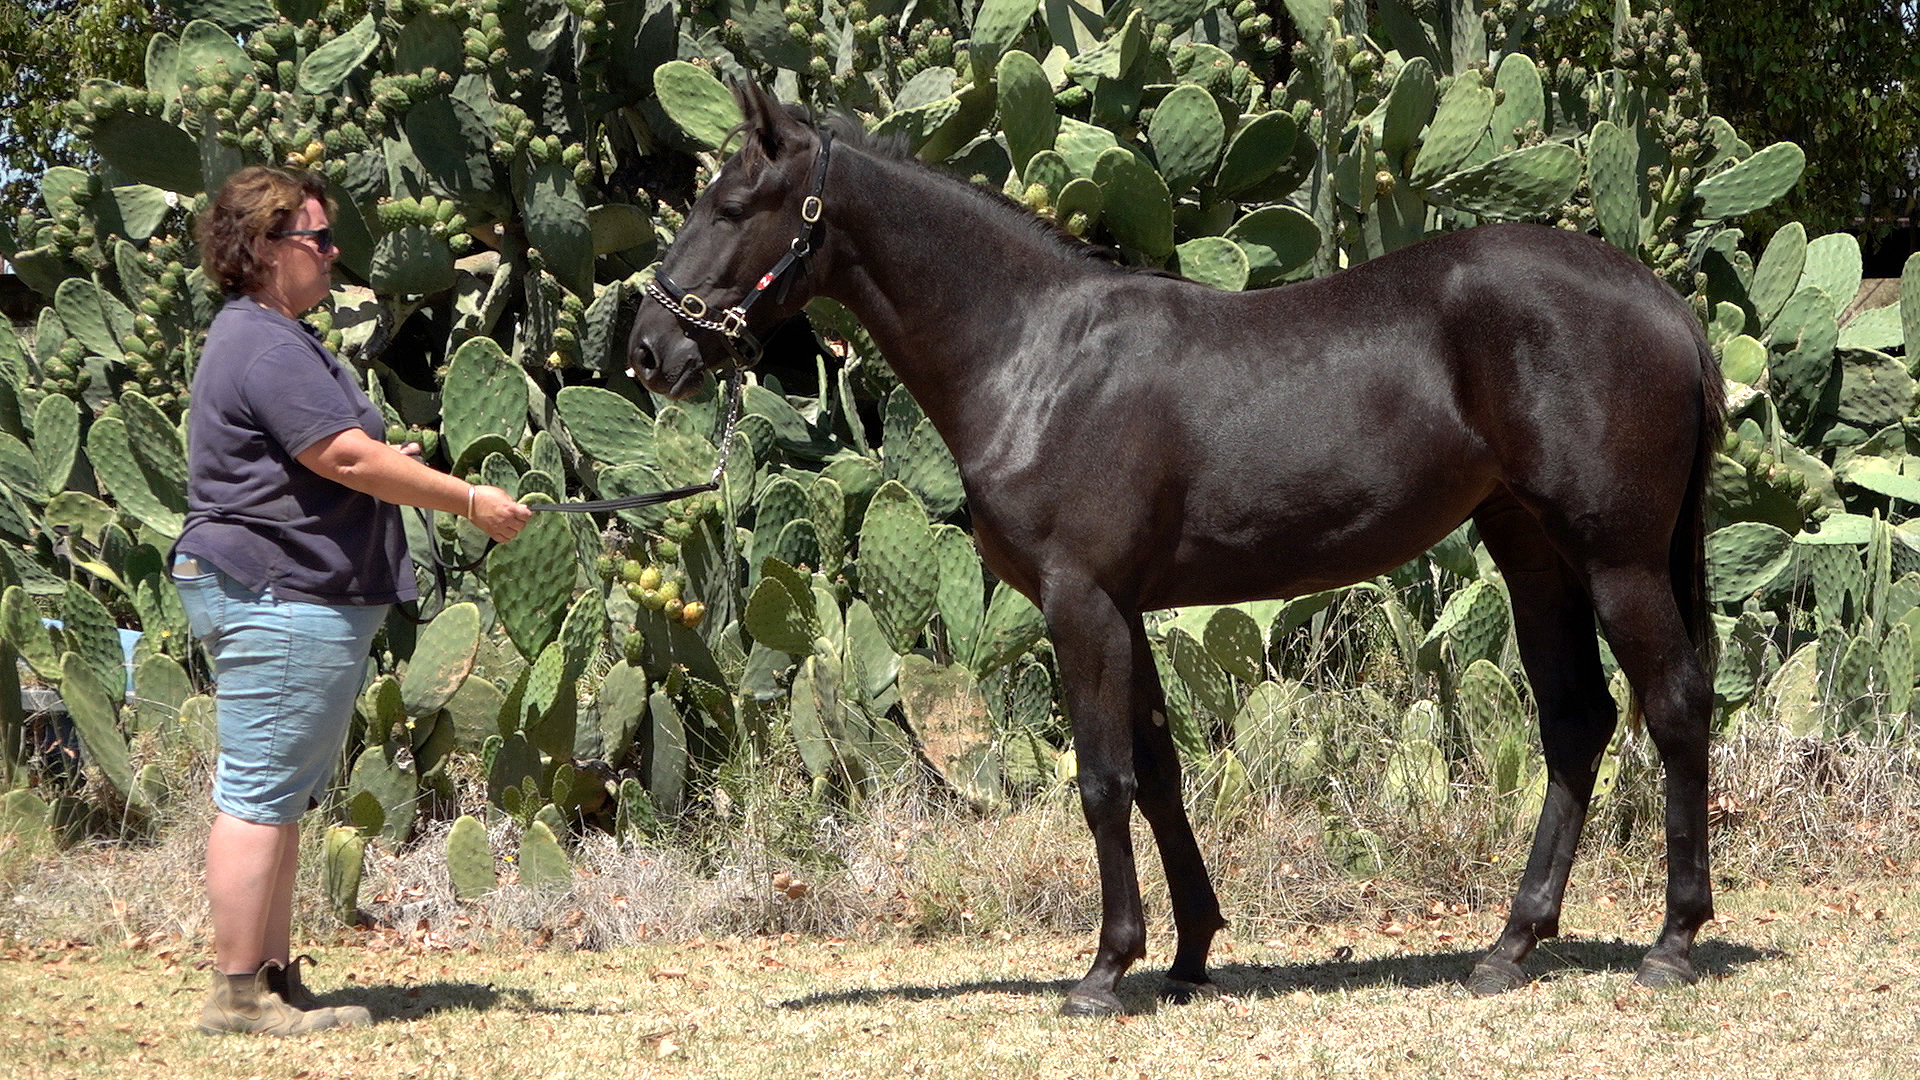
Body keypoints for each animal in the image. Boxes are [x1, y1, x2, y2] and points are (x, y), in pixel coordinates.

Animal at [627, 82, 1722, 1016]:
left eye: (732, 205)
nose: (647, 348)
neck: (1038, 356)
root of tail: (1664, 304)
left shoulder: (1080, 601)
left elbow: (1102, 782)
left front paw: (1105, 969)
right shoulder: (1123, 606)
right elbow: (1158, 774)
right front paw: (1190, 951)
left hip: (1617, 560)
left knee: (1672, 704)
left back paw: (1672, 942)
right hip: (1532, 553)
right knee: (1577, 721)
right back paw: (1512, 944)